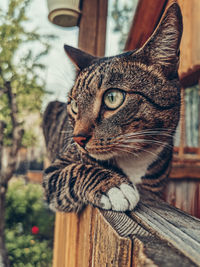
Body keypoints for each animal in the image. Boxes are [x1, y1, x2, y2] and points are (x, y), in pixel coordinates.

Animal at [42, 1, 183, 211]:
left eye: (112, 98)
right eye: (74, 105)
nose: (78, 138)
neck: (134, 161)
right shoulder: (53, 172)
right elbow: (74, 171)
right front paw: (115, 187)